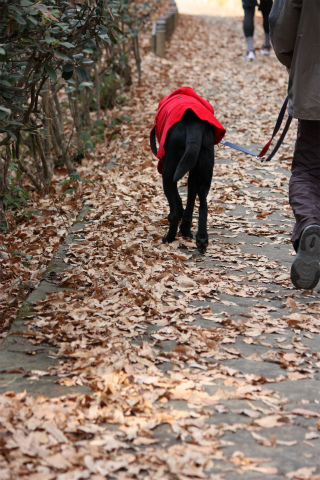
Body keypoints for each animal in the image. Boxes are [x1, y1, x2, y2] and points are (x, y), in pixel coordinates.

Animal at [160, 109, 215, 255]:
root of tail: (193, 125)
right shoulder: (193, 175)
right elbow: (189, 201)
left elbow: (177, 197)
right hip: (204, 173)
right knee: (203, 205)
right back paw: (201, 238)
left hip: (168, 172)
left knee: (173, 215)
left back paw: (168, 238)